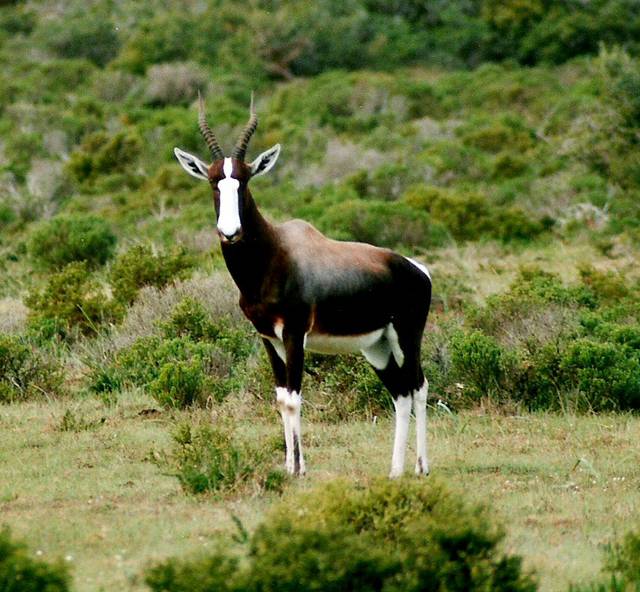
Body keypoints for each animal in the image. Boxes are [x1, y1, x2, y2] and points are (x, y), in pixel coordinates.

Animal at [172, 95, 432, 478]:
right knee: (400, 393)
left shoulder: (295, 334)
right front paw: (288, 466)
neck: (274, 254)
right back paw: (395, 471)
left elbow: (294, 399)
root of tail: (417, 269)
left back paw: (421, 467)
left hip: (406, 337)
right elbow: (281, 398)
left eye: (244, 180)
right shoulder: (268, 338)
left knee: (418, 386)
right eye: (213, 181)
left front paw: (297, 470)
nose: (230, 232)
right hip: (377, 347)